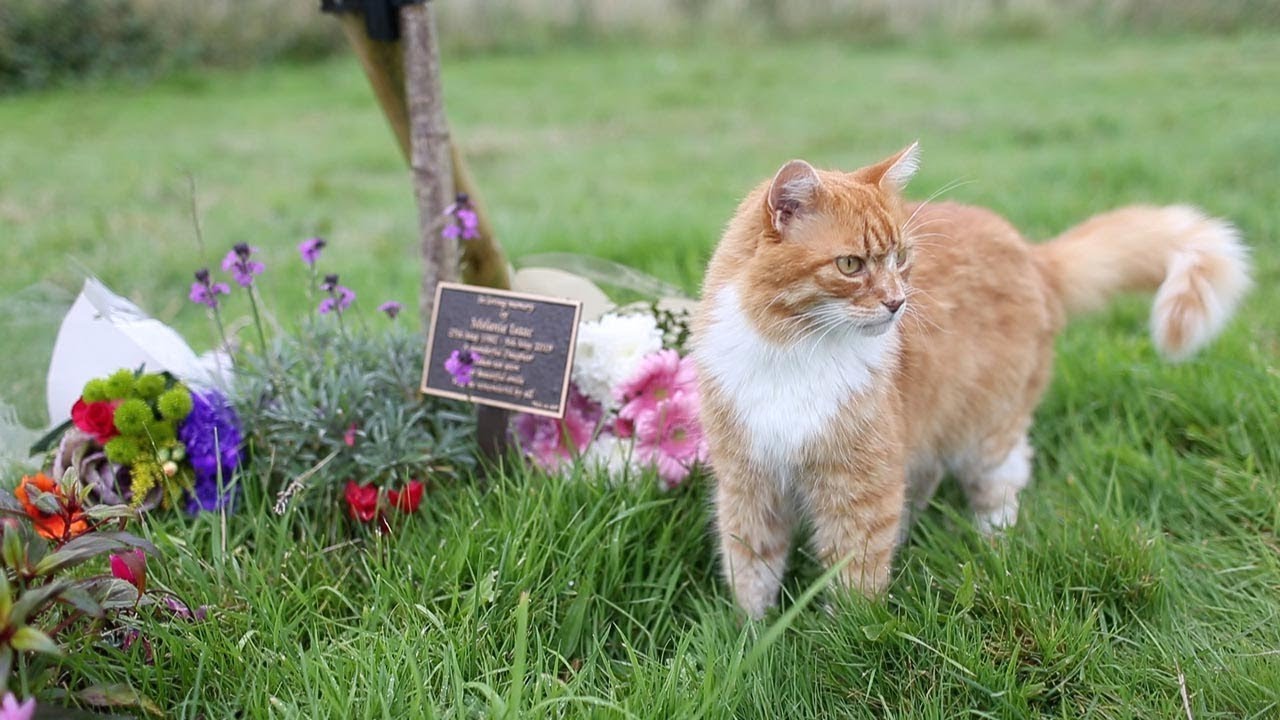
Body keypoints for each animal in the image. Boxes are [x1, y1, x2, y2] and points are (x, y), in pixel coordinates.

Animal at [696, 141, 1254, 617]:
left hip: (988, 428)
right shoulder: (748, 483)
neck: (794, 351)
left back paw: (993, 541)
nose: (897, 302)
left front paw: (842, 638)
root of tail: (1034, 255)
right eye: (851, 265)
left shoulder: (860, 489)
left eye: (902, 258)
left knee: (1005, 476)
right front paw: (753, 637)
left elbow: (855, 578)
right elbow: (752, 569)